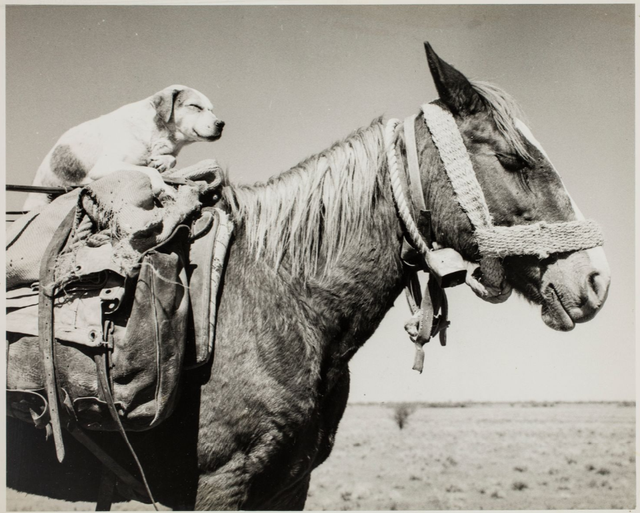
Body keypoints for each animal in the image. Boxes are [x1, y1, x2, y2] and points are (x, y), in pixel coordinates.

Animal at [24, 85, 225, 209]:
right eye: (195, 106)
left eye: (212, 109)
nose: (221, 123)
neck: (153, 133)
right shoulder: (104, 166)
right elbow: (149, 171)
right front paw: (163, 188)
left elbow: (167, 160)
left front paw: (162, 162)